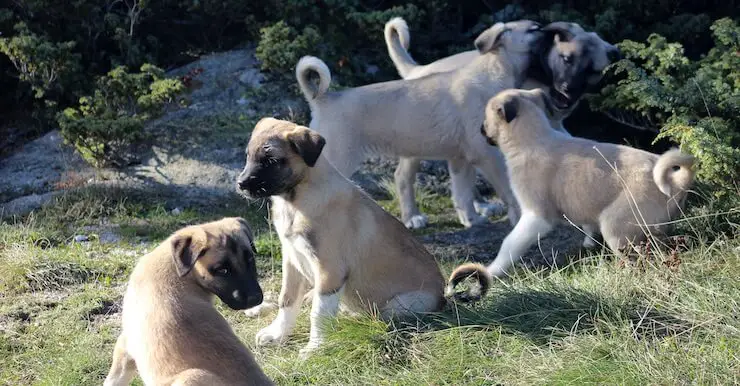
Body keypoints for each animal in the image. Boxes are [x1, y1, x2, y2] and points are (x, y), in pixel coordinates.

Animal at [100, 219, 268, 386]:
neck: (179, 271)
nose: (255, 298)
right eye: (222, 270)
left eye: (250, 259)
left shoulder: (125, 343)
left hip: (189, 378)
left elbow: (113, 379)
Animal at [234, 119, 448, 358]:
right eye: (248, 156)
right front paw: (277, 334)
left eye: (271, 161)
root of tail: (443, 294)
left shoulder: (329, 272)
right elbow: (287, 300)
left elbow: (319, 314)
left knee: (378, 315)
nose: (241, 183)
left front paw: (315, 348)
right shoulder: (292, 260)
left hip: (403, 303)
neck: (295, 202)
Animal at [294, 20, 544, 232]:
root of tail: (322, 100)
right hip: (338, 159)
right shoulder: (487, 155)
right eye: (535, 29)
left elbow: (462, 192)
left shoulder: (460, 159)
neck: (493, 70)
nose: (551, 31)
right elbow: (507, 189)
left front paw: (471, 220)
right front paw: (518, 217)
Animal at [384, 18, 620, 238]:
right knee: (403, 175)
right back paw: (412, 216)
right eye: (566, 58)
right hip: (419, 141)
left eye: (591, 71)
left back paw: (477, 208)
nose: (566, 91)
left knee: (462, 177)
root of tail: (419, 69)